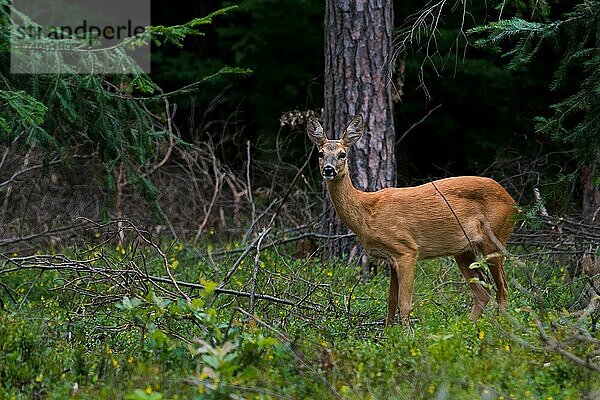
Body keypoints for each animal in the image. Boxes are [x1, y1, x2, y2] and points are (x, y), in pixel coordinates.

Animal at [308, 113, 516, 324]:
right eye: (320, 154)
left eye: (342, 154)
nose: (328, 169)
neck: (367, 213)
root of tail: (512, 200)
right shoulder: (391, 257)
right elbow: (391, 302)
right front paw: (388, 331)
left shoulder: (406, 249)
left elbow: (404, 304)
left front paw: (406, 333)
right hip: (464, 250)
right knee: (482, 292)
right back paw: (471, 326)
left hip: (495, 238)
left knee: (503, 288)